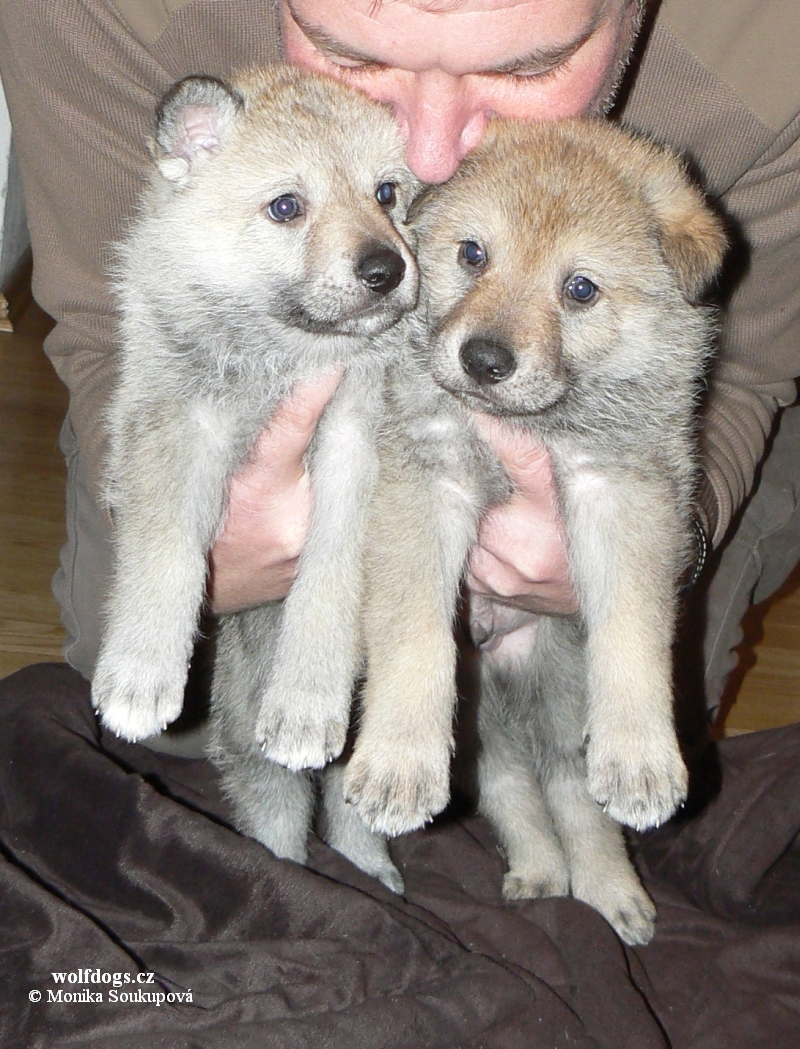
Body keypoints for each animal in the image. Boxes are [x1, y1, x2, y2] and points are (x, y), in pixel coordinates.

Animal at [91, 69, 419, 893]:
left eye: (388, 193)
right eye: (286, 206)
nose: (387, 269)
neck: (284, 352)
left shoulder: (356, 449)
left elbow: (329, 581)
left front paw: (305, 697)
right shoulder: (177, 428)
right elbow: (167, 554)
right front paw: (140, 669)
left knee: (348, 806)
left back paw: (372, 874)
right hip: (246, 745)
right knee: (279, 819)